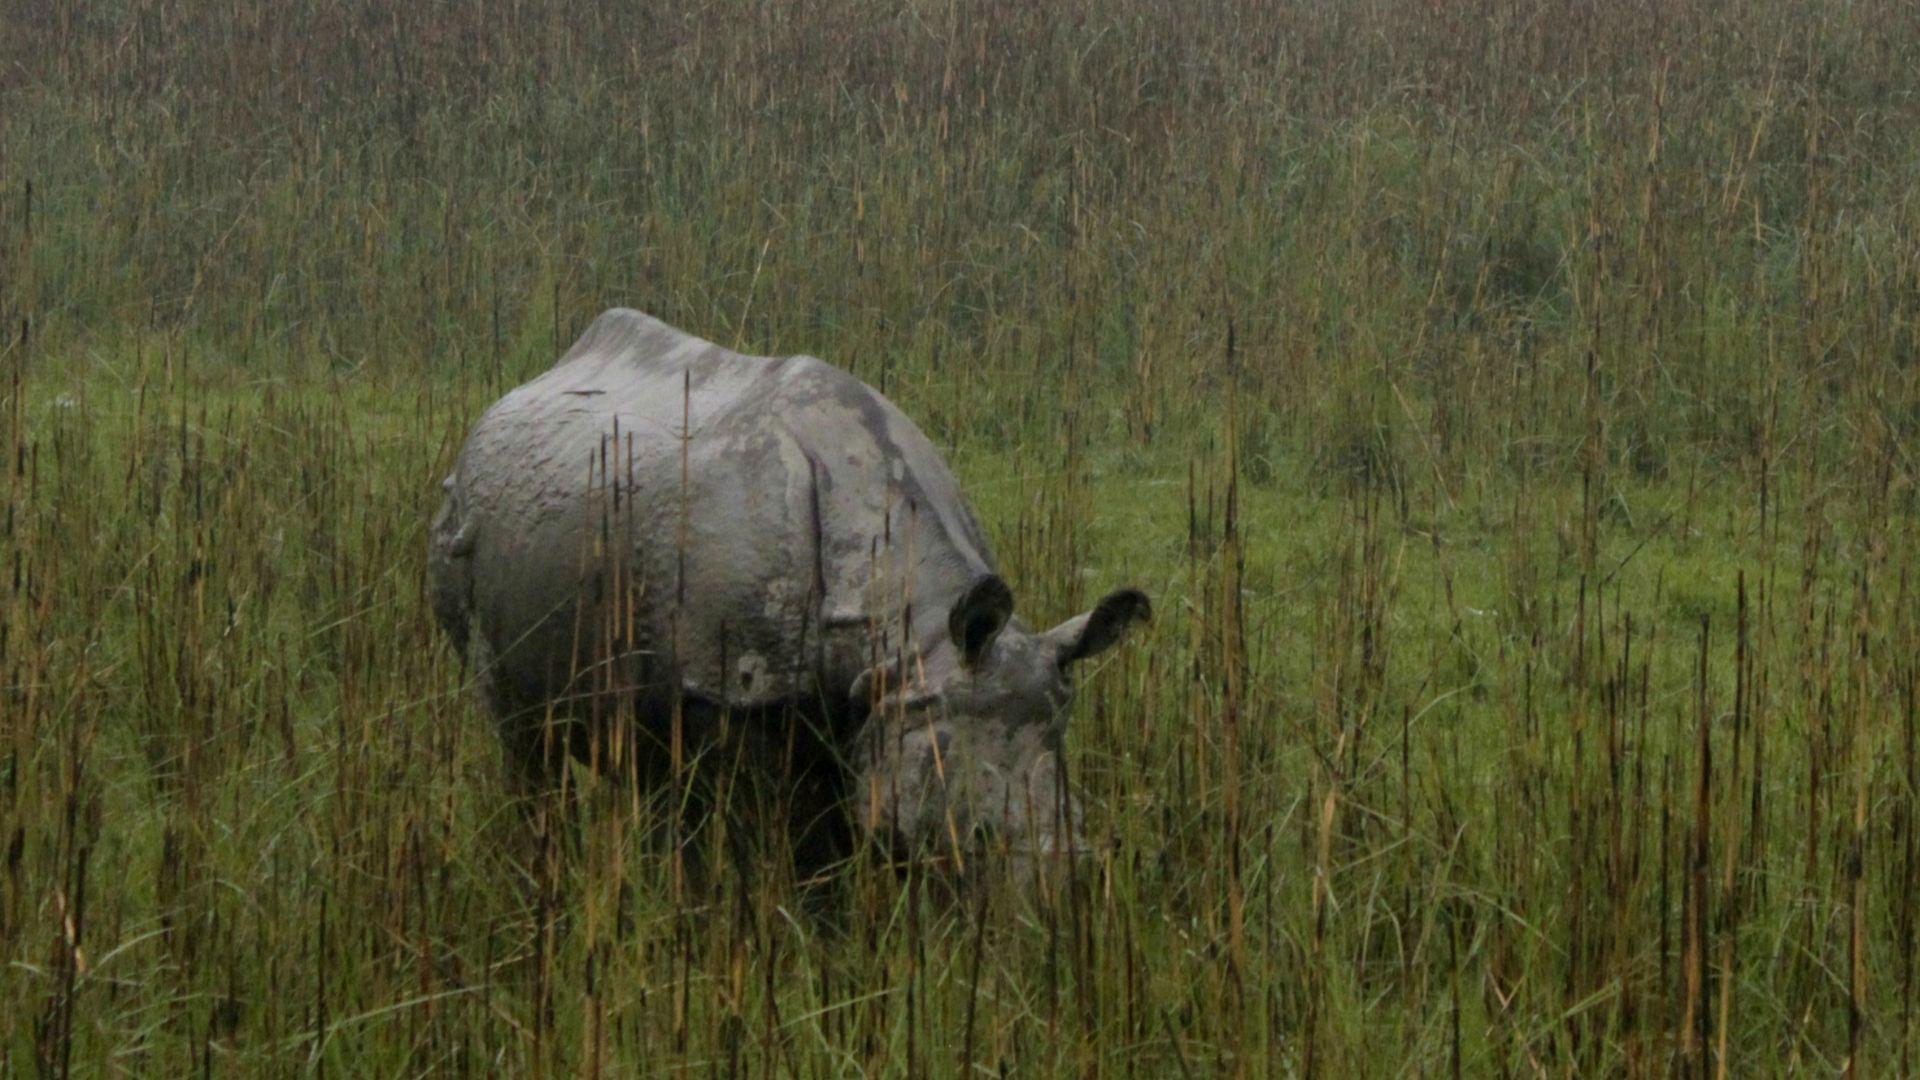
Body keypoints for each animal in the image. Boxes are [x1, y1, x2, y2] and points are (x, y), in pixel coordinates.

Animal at [428, 308, 1148, 867]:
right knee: (523, 736)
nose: (1054, 889)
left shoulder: (885, 704)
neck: (911, 639)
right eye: (970, 836)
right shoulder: (734, 686)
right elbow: (783, 848)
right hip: (467, 521)